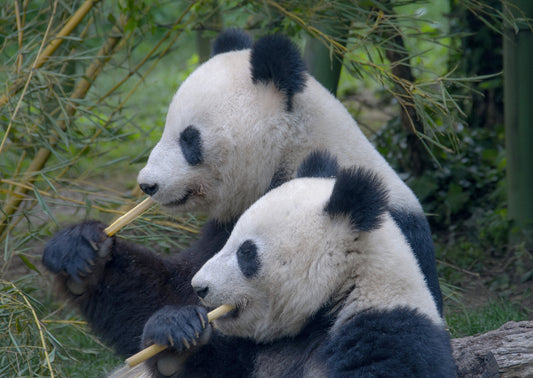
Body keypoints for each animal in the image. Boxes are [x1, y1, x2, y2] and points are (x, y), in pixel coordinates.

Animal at [41, 29, 440, 358]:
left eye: (189, 138)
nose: (147, 184)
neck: (292, 152)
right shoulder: (226, 226)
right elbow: (171, 291)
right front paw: (80, 251)